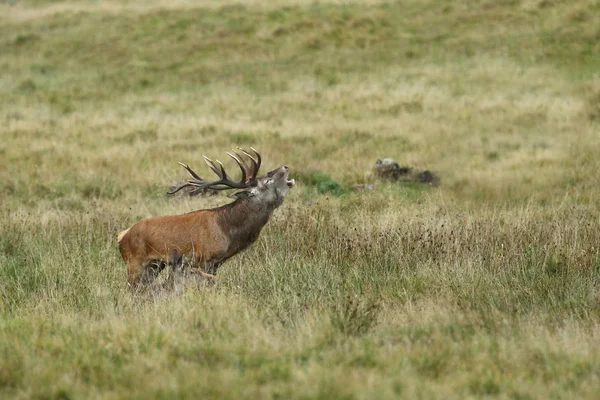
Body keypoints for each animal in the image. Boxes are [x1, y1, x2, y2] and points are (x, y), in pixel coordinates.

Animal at [116, 147, 294, 288]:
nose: (286, 167)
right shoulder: (205, 259)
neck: (227, 231)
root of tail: (122, 235)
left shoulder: (217, 263)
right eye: (268, 180)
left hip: (155, 265)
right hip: (134, 263)